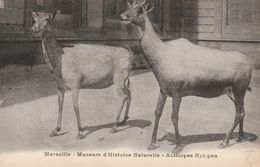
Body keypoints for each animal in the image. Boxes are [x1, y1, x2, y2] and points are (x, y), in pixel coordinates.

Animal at [32, 9, 134, 139]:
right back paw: (124, 120)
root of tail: (131, 54)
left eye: (47, 19)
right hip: (123, 79)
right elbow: (60, 104)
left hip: (119, 77)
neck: (57, 65)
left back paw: (114, 127)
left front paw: (80, 132)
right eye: (35, 19)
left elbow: (75, 105)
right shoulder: (60, 85)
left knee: (123, 96)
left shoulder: (75, 80)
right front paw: (55, 130)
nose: (34, 28)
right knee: (129, 93)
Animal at [121, 0, 253, 153]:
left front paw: (178, 146)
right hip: (233, 92)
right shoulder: (163, 90)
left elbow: (174, 116)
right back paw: (240, 137)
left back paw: (224, 141)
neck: (162, 55)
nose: (122, 16)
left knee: (239, 113)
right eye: (129, 6)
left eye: (140, 9)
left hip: (239, 88)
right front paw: (152, 143)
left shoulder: (177, 91)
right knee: (242, 111)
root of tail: (249, 63)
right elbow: (157, 112)